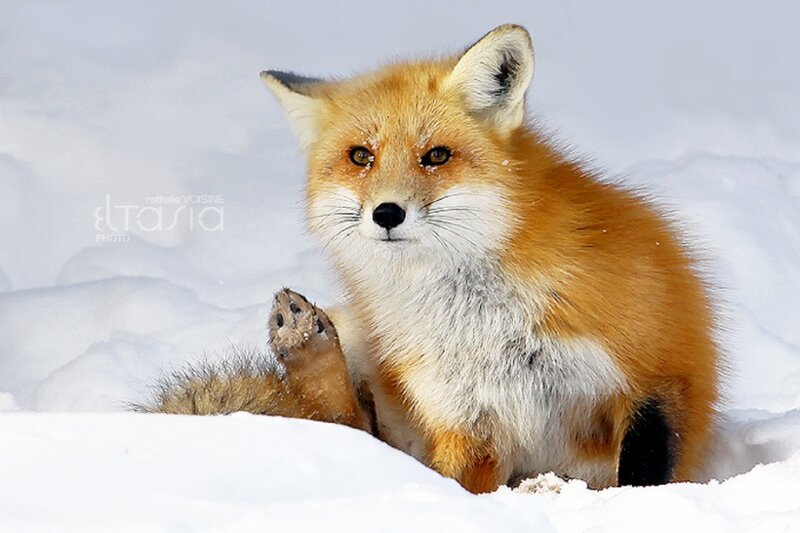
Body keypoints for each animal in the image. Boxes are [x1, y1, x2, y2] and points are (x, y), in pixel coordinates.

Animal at [141, 24, 720, 494]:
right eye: (361, 156)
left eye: (436, 156)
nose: (387, 213)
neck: (477, 318)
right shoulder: (466, 419)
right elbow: (445, 483)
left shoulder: (654, 373)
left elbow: (644, 476)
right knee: (348, 427)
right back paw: (305, 344)